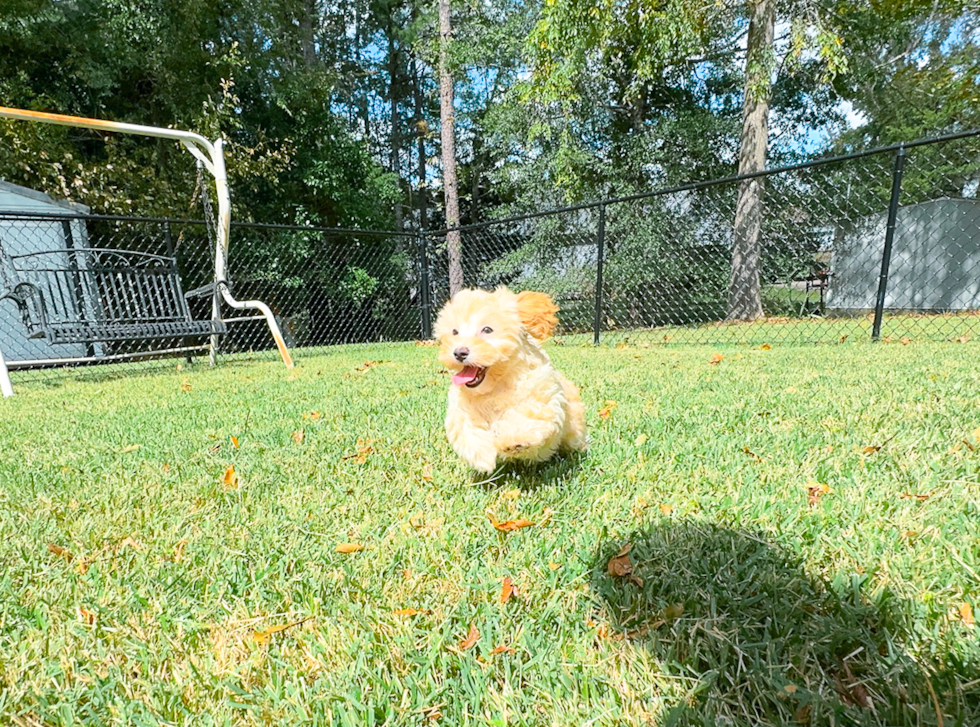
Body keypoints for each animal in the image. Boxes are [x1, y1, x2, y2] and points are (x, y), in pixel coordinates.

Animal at [438, 288, 588, 474]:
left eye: (487, 329)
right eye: (454, 332)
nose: (459, 352)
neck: (495, 385)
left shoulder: (540, 396)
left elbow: (526, 413)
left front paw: (514, 440)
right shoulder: (462, 408)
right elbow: (465, 428)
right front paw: (481, 456)